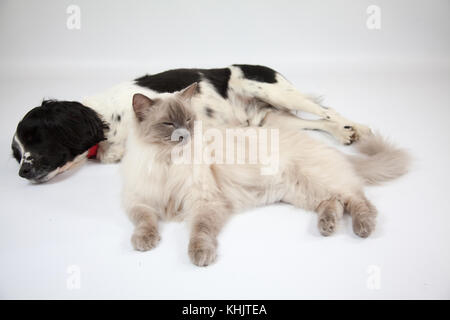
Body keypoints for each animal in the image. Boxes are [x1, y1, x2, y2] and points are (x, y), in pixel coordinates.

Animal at [11, 64, 370, 182]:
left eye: (37, 137)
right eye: (16, 154)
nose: (22, 172)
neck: (105, 118)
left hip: (273, 90)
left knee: (327, 110)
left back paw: (360, 129)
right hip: (272, 121)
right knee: (318, 121)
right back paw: (346, 133)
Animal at [120, 83, 412, 268]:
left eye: (189, 120)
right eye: (169, 124)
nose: (185, 135)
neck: (166, 162)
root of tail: (329, 148)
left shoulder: (204, 203)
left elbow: (200, 232)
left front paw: (200, 255)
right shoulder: (139, 202)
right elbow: (145, 222)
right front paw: (144, 242)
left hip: (317, 181)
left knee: (359, 201)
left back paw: (362, 229)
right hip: (302, 192)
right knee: (334, 203)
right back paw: (327, 227)